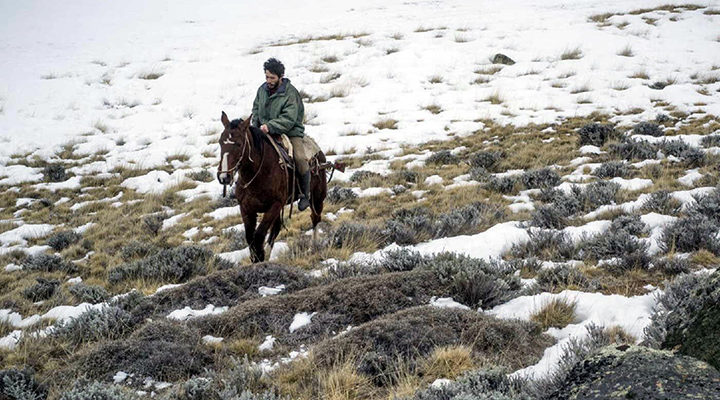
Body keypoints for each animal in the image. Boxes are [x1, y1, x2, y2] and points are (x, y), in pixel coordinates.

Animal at [217, 112, 330, 262]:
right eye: (220, 142)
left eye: (239, 144)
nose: (224, 177)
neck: (258, 175)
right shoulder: (246, 208)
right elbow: (250, 237)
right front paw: (257, 258)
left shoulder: (275, 205)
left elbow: (259, 235)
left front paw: (260, 256)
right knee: (276, 228)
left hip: (317, 197)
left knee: (315, 217)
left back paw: (314, 246)